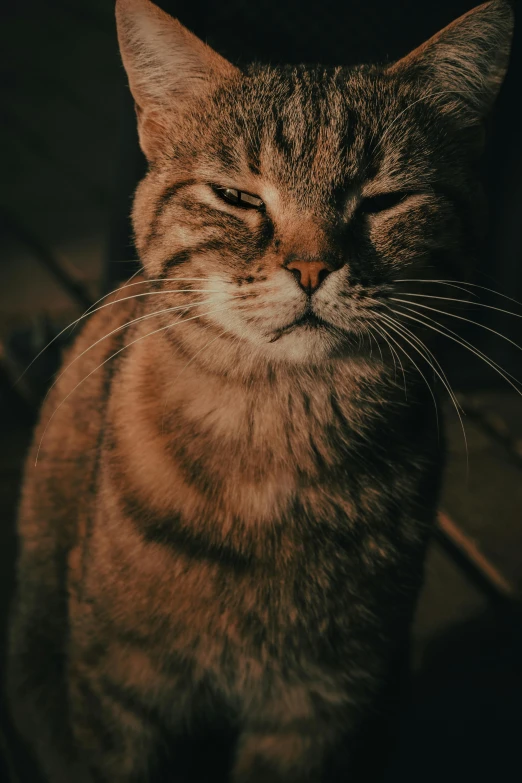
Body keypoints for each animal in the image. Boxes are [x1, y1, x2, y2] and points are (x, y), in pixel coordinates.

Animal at [6, 0, 512, 780]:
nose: (310, 268)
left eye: (385, 201)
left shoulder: (322, 703)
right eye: (238, 198)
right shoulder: (123, 691)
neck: (281, 427)